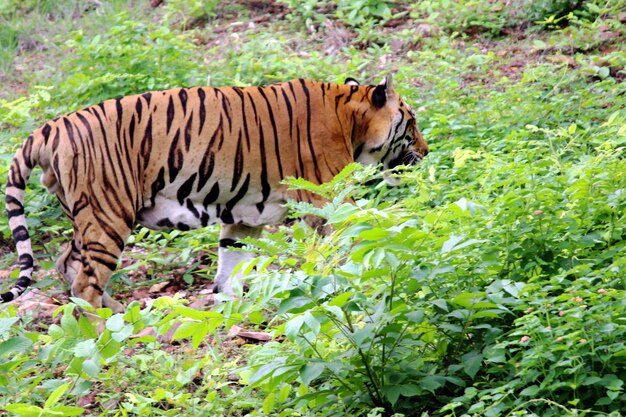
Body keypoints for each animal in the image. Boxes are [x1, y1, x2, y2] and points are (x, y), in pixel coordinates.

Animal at [2, 73, 426, 310]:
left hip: (86, 215)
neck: (350, 119)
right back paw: (102, 340)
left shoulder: (244, 216)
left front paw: (232, 312)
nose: (426, 151)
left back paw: (118, 316)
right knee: (84, 284)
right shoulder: (326, 197)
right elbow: (355, 237)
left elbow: (230, 269)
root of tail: (48, 128)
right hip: (107, 212)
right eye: (412, 122)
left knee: (68, 265)